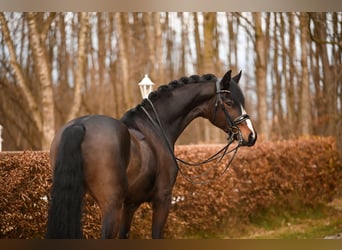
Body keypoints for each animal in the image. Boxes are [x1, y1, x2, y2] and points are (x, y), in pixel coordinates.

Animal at [46, 69, 258, 239]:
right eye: (229, 102)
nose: (251, 135)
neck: (155, 127)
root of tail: (79, 126)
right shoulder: (162, 199)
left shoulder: (129, 204)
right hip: (110, 205)